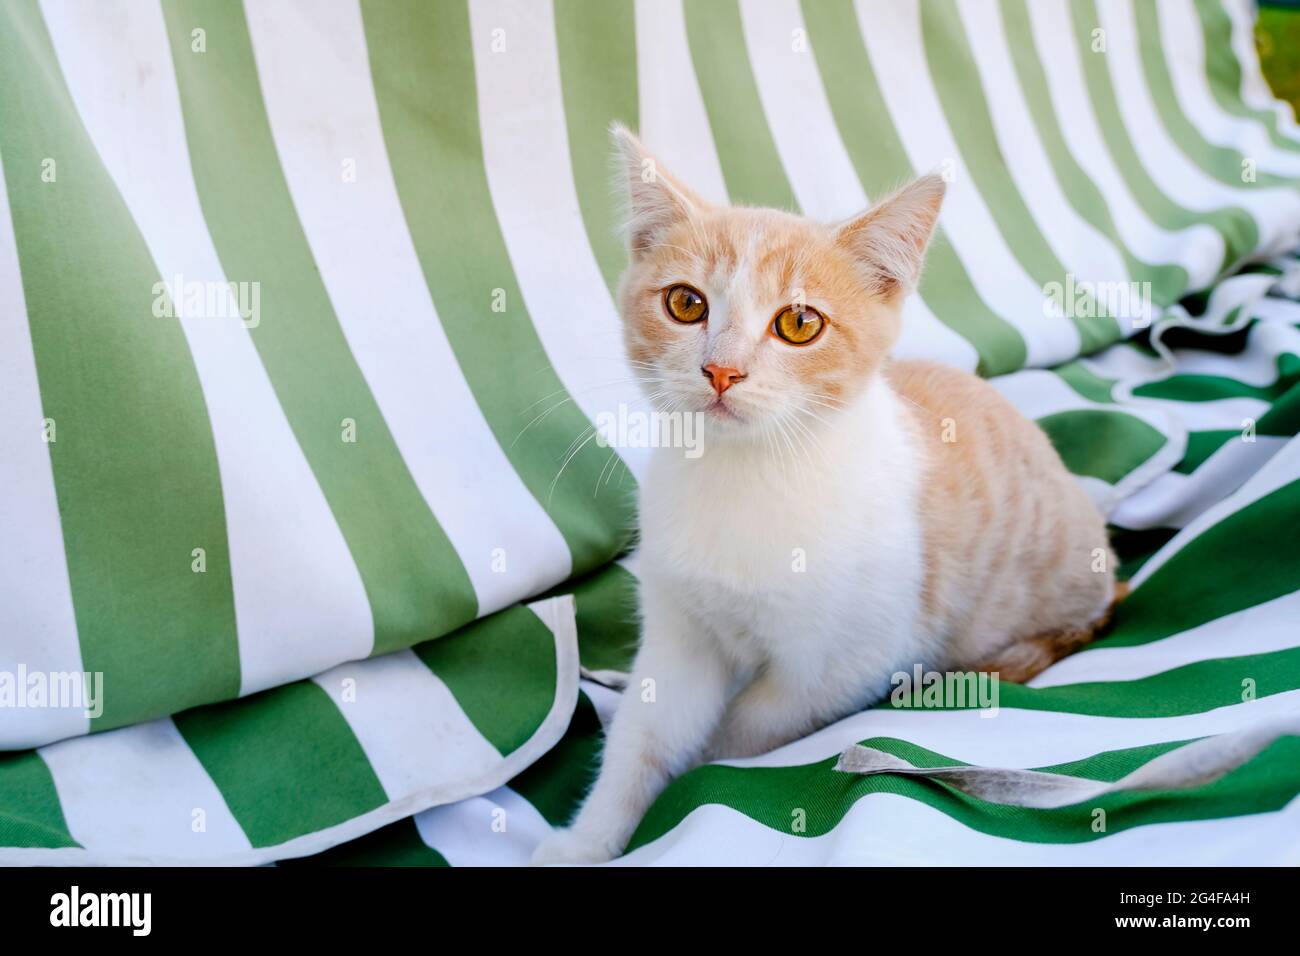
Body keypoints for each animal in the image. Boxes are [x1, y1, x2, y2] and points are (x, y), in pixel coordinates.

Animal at [527, 127, 1118, 868]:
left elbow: (752, 726)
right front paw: (587, 841)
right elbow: (646, 730)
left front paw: (702, 770)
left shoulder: (855, 658)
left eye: (800, 324)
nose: (721, 370)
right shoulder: (680, 629)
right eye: (686, 304)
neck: (746, 476)